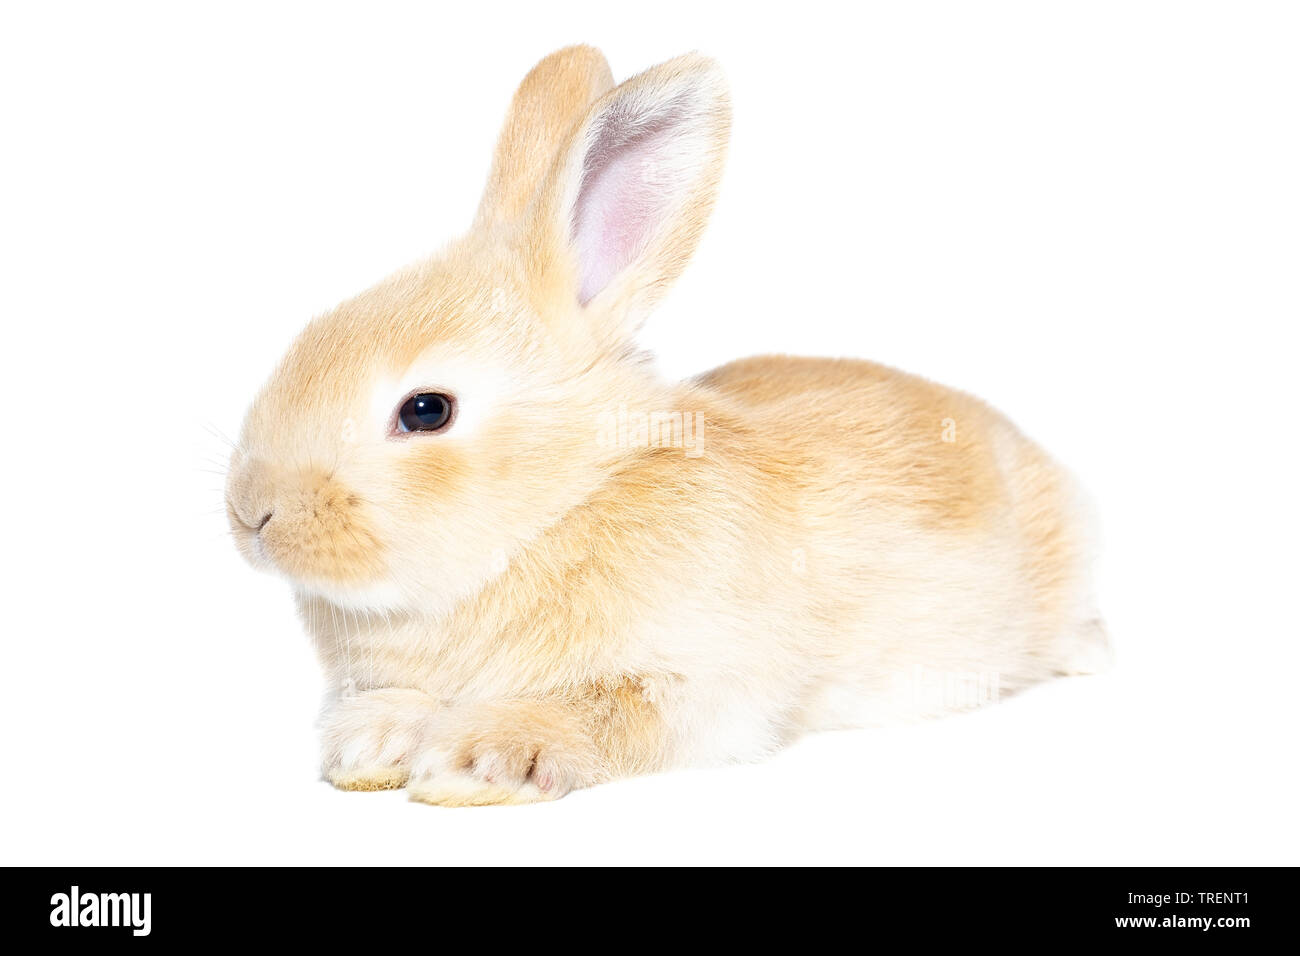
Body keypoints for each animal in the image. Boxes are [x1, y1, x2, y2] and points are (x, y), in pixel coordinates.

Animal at [223, 46, 1107, 806]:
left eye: (426, 410)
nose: (251, 513)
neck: (561, 508)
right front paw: (368, 752)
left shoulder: (698, 685)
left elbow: (598, 713)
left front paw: (480, 762)